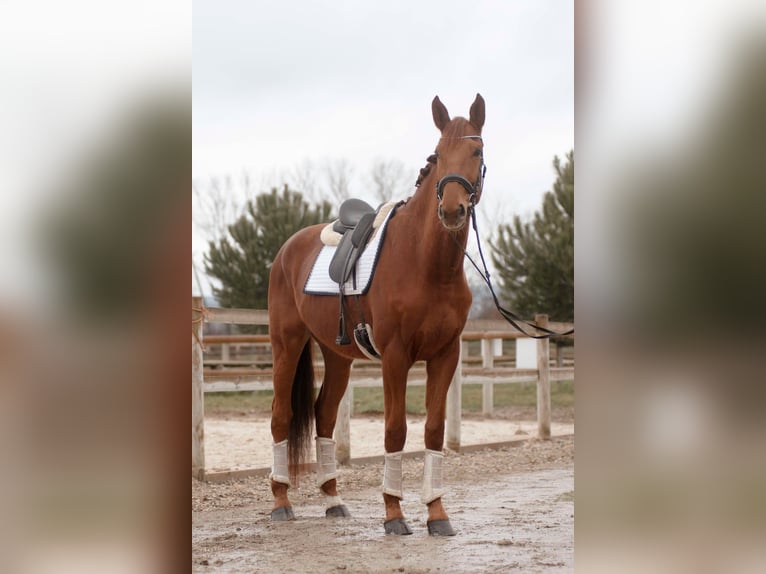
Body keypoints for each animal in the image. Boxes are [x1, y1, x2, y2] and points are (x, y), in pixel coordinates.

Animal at [268, 93, 486, 536]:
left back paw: (333, 500)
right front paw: (394, 513)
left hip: (337, 356)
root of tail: (286, 250)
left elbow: (433, 430)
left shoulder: (446, 355)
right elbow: (395, 430)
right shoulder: (396, 356)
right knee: (281, 416)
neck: (427, 264)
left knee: (324, 416)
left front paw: (437, 513)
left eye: (476, 151)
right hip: (287, 345)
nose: (452, 210)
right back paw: (281, 501)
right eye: (438, 154)